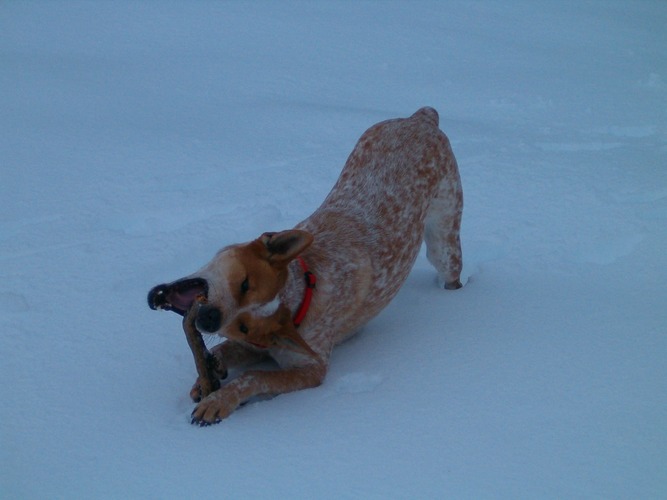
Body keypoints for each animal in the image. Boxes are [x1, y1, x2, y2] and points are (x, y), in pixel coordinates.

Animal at [148, 107, 464, 424]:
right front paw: (207, 376)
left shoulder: (312, 368)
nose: (211, 317)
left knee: (452, 273)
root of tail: (420, 118)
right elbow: (223, 350)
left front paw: (220, 399)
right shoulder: (258, 347)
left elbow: (254, 376)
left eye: (245, 325)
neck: (301, 292)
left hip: (444, 246)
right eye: (244, 283)